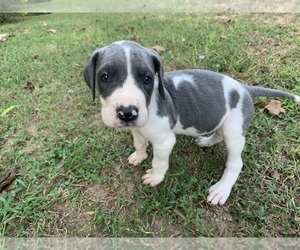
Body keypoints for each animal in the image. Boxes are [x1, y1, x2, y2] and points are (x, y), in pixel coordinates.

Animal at [82, 40, 300, 205]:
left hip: (234, 130)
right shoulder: (137, 129)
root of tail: (245, 88)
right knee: (218, 133)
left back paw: (222, 189)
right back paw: (207, 141)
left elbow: (159, 161)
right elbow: (140, 143)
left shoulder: (164, 142)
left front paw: (155, 177)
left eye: (147, 78)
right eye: (104, 77)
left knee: (235, 163)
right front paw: (139, 156)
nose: (127, 112)